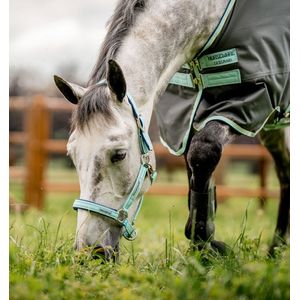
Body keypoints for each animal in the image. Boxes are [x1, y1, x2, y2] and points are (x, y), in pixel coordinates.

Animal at [53, 0, 288, 260]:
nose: (90, 252)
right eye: (72, 155)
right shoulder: (185, 115)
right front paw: (202, 247)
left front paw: (203, 239)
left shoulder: (252, 98)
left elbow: (203, 151)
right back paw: (275, 250)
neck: (211, 16)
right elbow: (194, 168)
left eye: (119, 154)